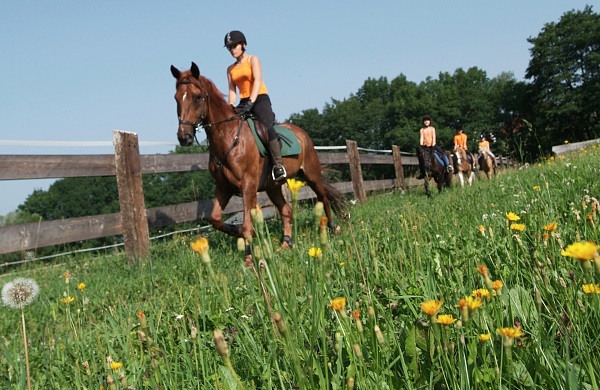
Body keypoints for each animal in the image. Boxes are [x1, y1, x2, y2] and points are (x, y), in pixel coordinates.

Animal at [171, 61, 344, 250]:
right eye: (176, 98)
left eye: (197, 97)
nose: (184, 137)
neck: (229, 136)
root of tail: (302, 133)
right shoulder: (224, 187)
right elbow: (215, 219)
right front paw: (236, 231)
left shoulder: (248, 185)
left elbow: (247, 225)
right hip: (273, 187)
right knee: (287, 210)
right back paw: (286, 242)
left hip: (311, 175)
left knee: (323, 198)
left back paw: (333, 228)